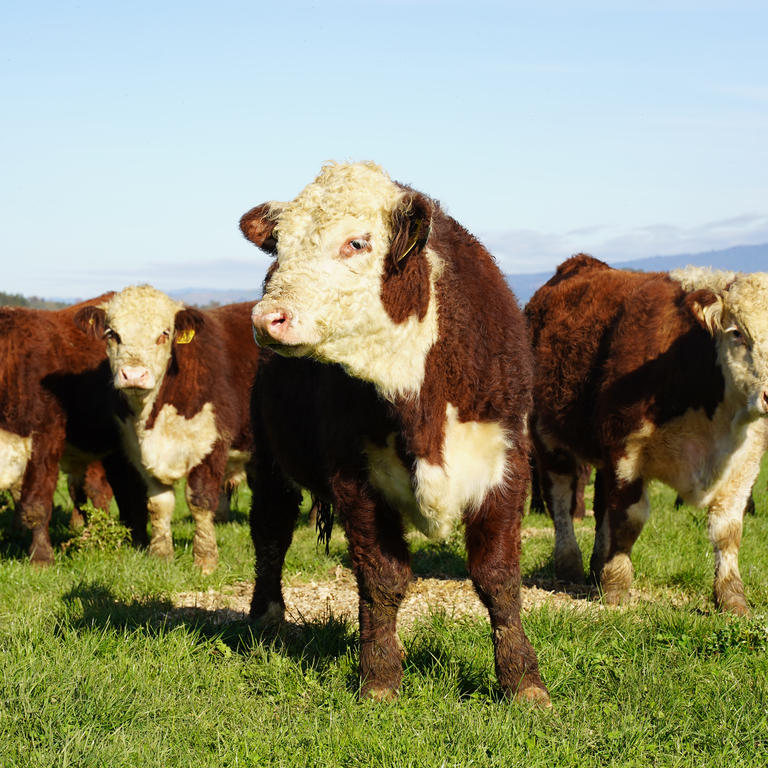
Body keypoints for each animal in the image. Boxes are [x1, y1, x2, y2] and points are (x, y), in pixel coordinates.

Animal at [74, 287, 259, 574]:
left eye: (164, 333)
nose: (134, 374)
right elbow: (158, 504)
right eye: (112, 334)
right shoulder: (138, 451)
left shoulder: (211, 445)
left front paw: (205, 561)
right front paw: (160, 555)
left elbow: (200, 500)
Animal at [240, 161, 548, 704]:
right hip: (269, 458)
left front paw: (522, 681)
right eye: (280, 246)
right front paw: (380, 679)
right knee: (271, 532)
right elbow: (382, 577)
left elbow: (498, 577)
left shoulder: (507, 464)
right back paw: (267, 616)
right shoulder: (354, 476)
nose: (267, 317)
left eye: (357, 243)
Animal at [526, 254, 768, 614]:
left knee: (600, 504)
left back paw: (597, 564)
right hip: (548, 440)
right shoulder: (626, 452)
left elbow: (728, 531)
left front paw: (732, 598)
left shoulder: (745, 462)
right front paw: (616, 586)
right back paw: (569, 563)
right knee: (561, 499)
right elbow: (628, 519)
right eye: (736, 332)